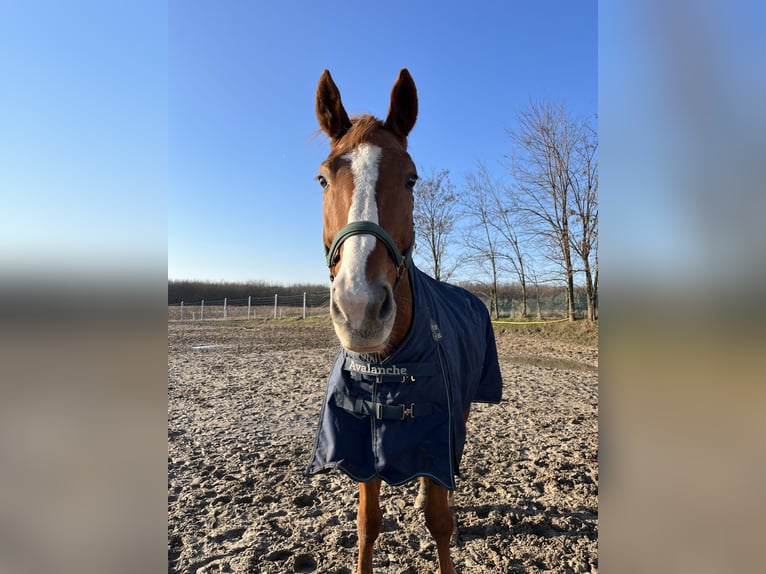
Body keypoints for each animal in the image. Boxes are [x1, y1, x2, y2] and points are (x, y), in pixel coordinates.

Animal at [308, 70, 508, 572]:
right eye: (322, 178)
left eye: (411, 179)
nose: (359, 308)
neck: (386, 365)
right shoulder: (362, 447)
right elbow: (367, 525)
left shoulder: (438, 428)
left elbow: (440, 523)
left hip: (465, 407)